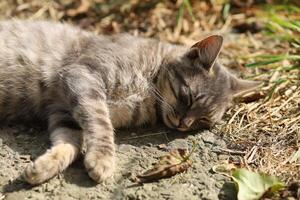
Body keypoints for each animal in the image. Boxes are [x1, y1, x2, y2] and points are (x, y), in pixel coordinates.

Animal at [0, 19, 258, 184]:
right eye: (187, 97)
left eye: (203, 120)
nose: (184, 124)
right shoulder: (82, 76)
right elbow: (101, 123)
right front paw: (102, 159)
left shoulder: (62, 111)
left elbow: (69, 142)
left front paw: (43, 167)